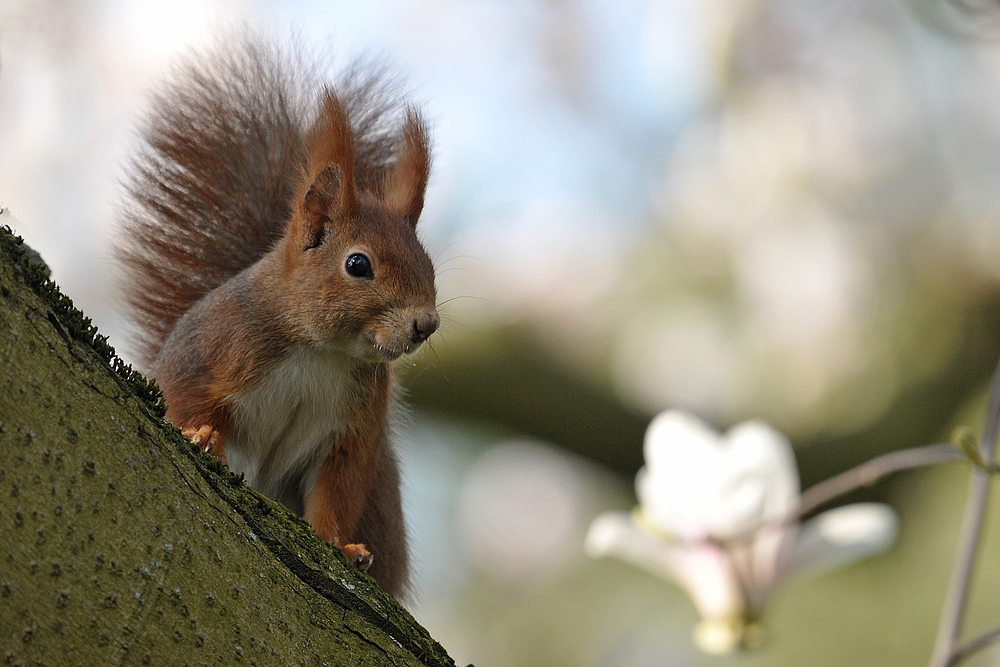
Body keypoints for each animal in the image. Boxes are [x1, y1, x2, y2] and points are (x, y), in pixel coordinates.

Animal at [117, 35, 438, 600]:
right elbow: (183, 398)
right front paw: (202, 436)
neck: (323, 352)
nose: (427, 324)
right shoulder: (213, 349)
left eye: (430, 266)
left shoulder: (352, 434)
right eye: (358, 264)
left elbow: (336, 492)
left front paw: (339, 545)